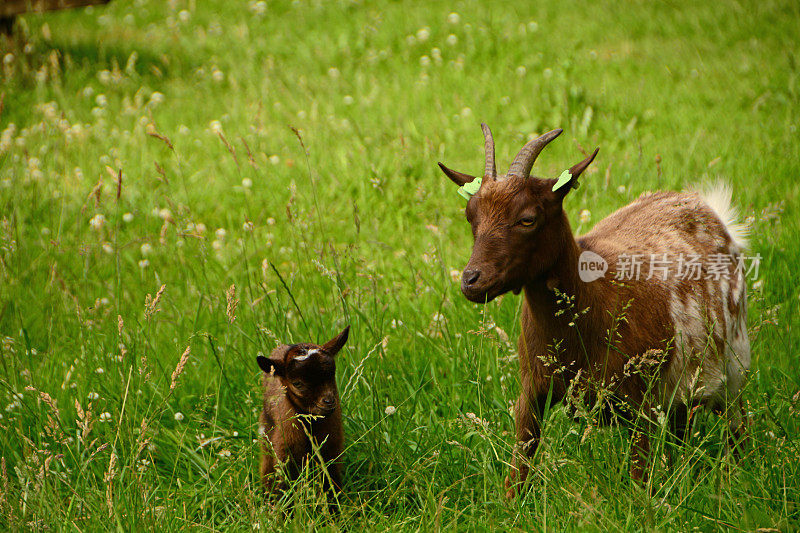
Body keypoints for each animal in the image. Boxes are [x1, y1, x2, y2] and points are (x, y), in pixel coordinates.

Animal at [253, 324, 346, 498]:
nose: (329, 401)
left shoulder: (331, 447)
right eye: (297, 383)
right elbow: (285, 484)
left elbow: (330, 479)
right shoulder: (285, 451)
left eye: (332, 374)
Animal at [440, 124, 752, 494]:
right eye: (470, 215)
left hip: (733, 360)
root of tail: (712, 211)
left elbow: (639, 479)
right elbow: (519, 469)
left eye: (527, 218)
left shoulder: (639, 401)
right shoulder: (531, 390)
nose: (471, 280)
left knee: (737, 424)